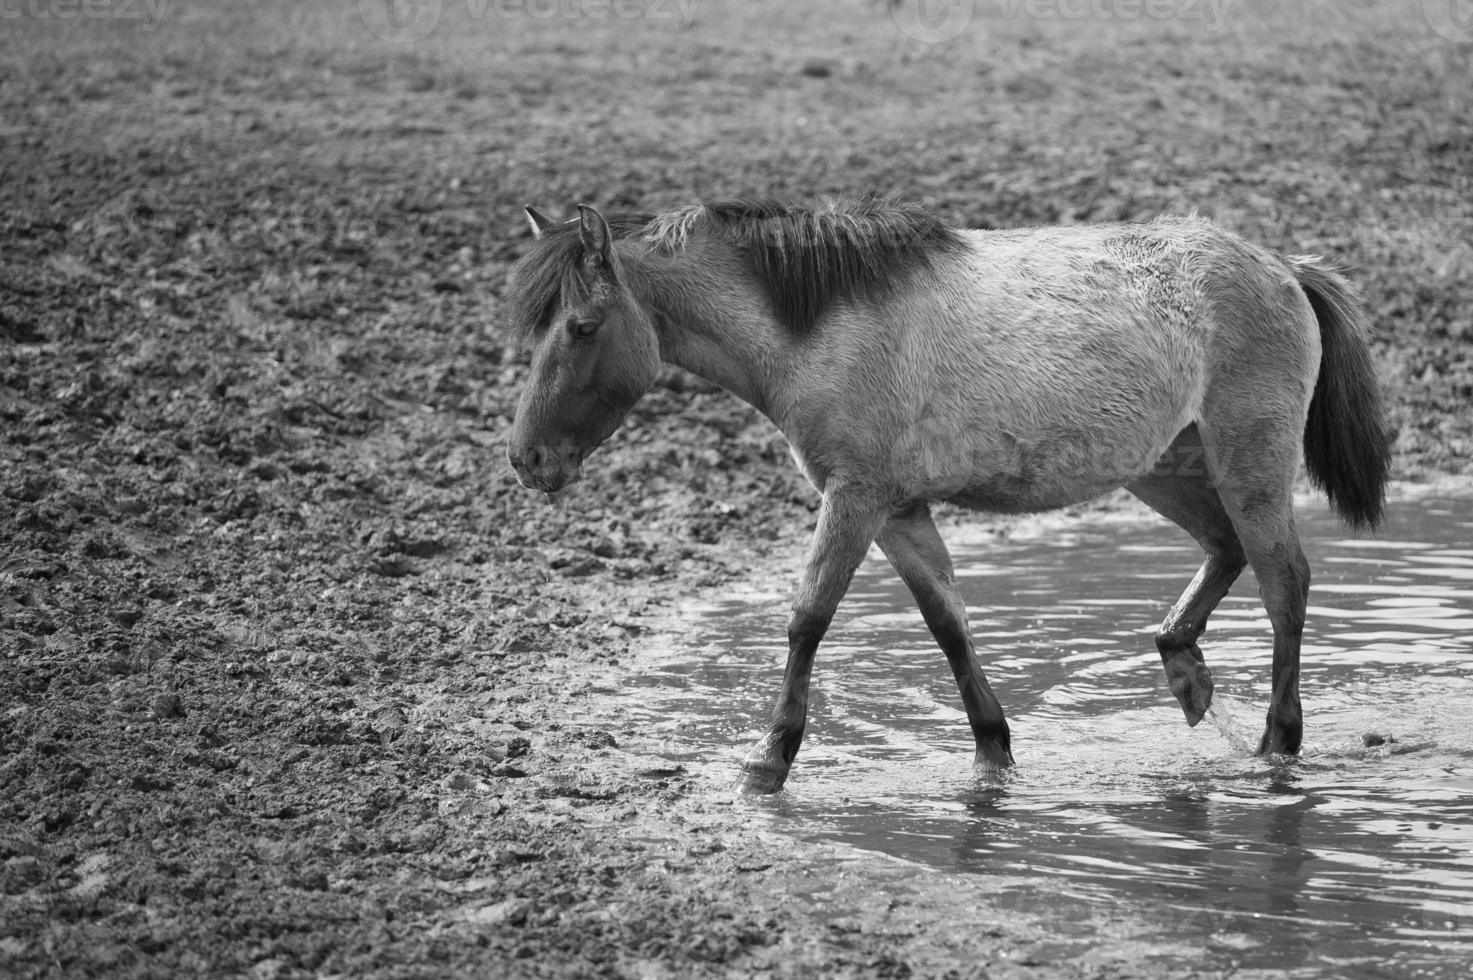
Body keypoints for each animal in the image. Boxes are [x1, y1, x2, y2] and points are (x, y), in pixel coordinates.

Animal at [500, 194, 1384, 789]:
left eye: (580, 328)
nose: (526, 460)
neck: (820, 325)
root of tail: (1283, 268)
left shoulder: (855, 500)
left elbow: (807, 619)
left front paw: (769, 757)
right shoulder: (897, 512)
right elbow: (948, 625)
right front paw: (992, 750)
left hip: (1246, 464)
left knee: (1283, 584)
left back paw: (1277, 743)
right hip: (1167, 468)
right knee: (1227, 553)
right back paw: (1186, 676)